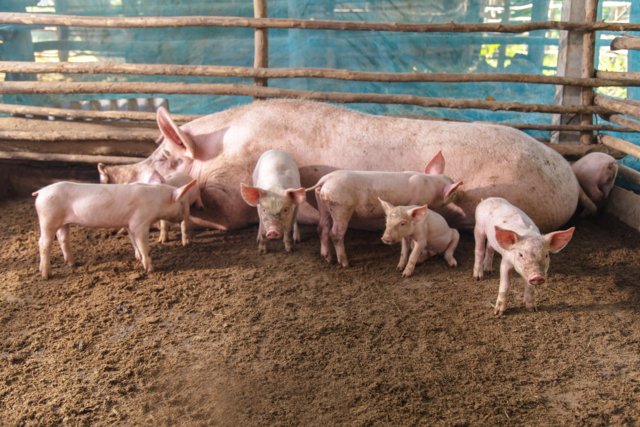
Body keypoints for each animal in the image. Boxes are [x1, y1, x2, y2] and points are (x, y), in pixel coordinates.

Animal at [33, 180, 196, 279]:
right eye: (182, 203)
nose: (185, 217)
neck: (157, 201)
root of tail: (41, 191)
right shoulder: (140, 223)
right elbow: (143, 245)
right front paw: (151, 269)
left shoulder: (130, 224)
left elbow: (134, 242)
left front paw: (138, 258)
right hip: (48, 219)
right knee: (43, 243)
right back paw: (46, 275)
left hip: (62, 223)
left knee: (63, 239)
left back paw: (73, 264)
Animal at [309, 151, 463, 267]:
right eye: (454, 192)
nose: (461, 195)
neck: (431, 185)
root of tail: (325, 180)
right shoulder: (416, 202)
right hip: (341, 207)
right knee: (335, 233)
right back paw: (345, 263)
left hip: (323, 204)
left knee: (322, 227)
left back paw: (327, 258)